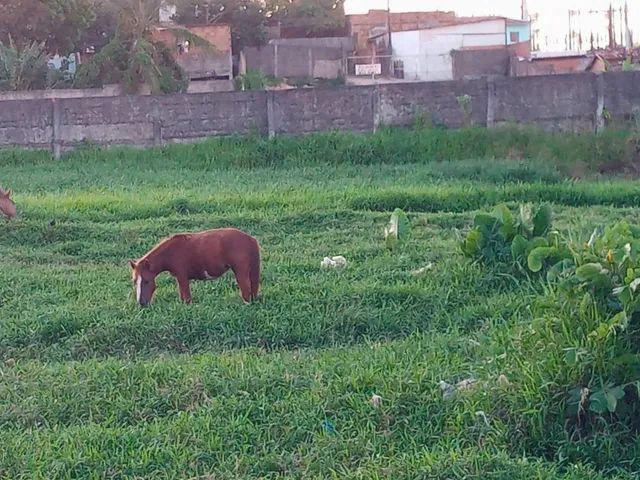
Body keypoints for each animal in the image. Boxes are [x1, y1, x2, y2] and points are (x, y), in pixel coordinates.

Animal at [130, 227, 260, 306]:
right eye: (134, 281)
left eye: (147, 281)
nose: (141, 303)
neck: (171, 251)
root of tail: (250, 239)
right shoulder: (179, 278)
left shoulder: (182, 277)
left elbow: (187, 298)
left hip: (240, 272)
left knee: (246, 292)